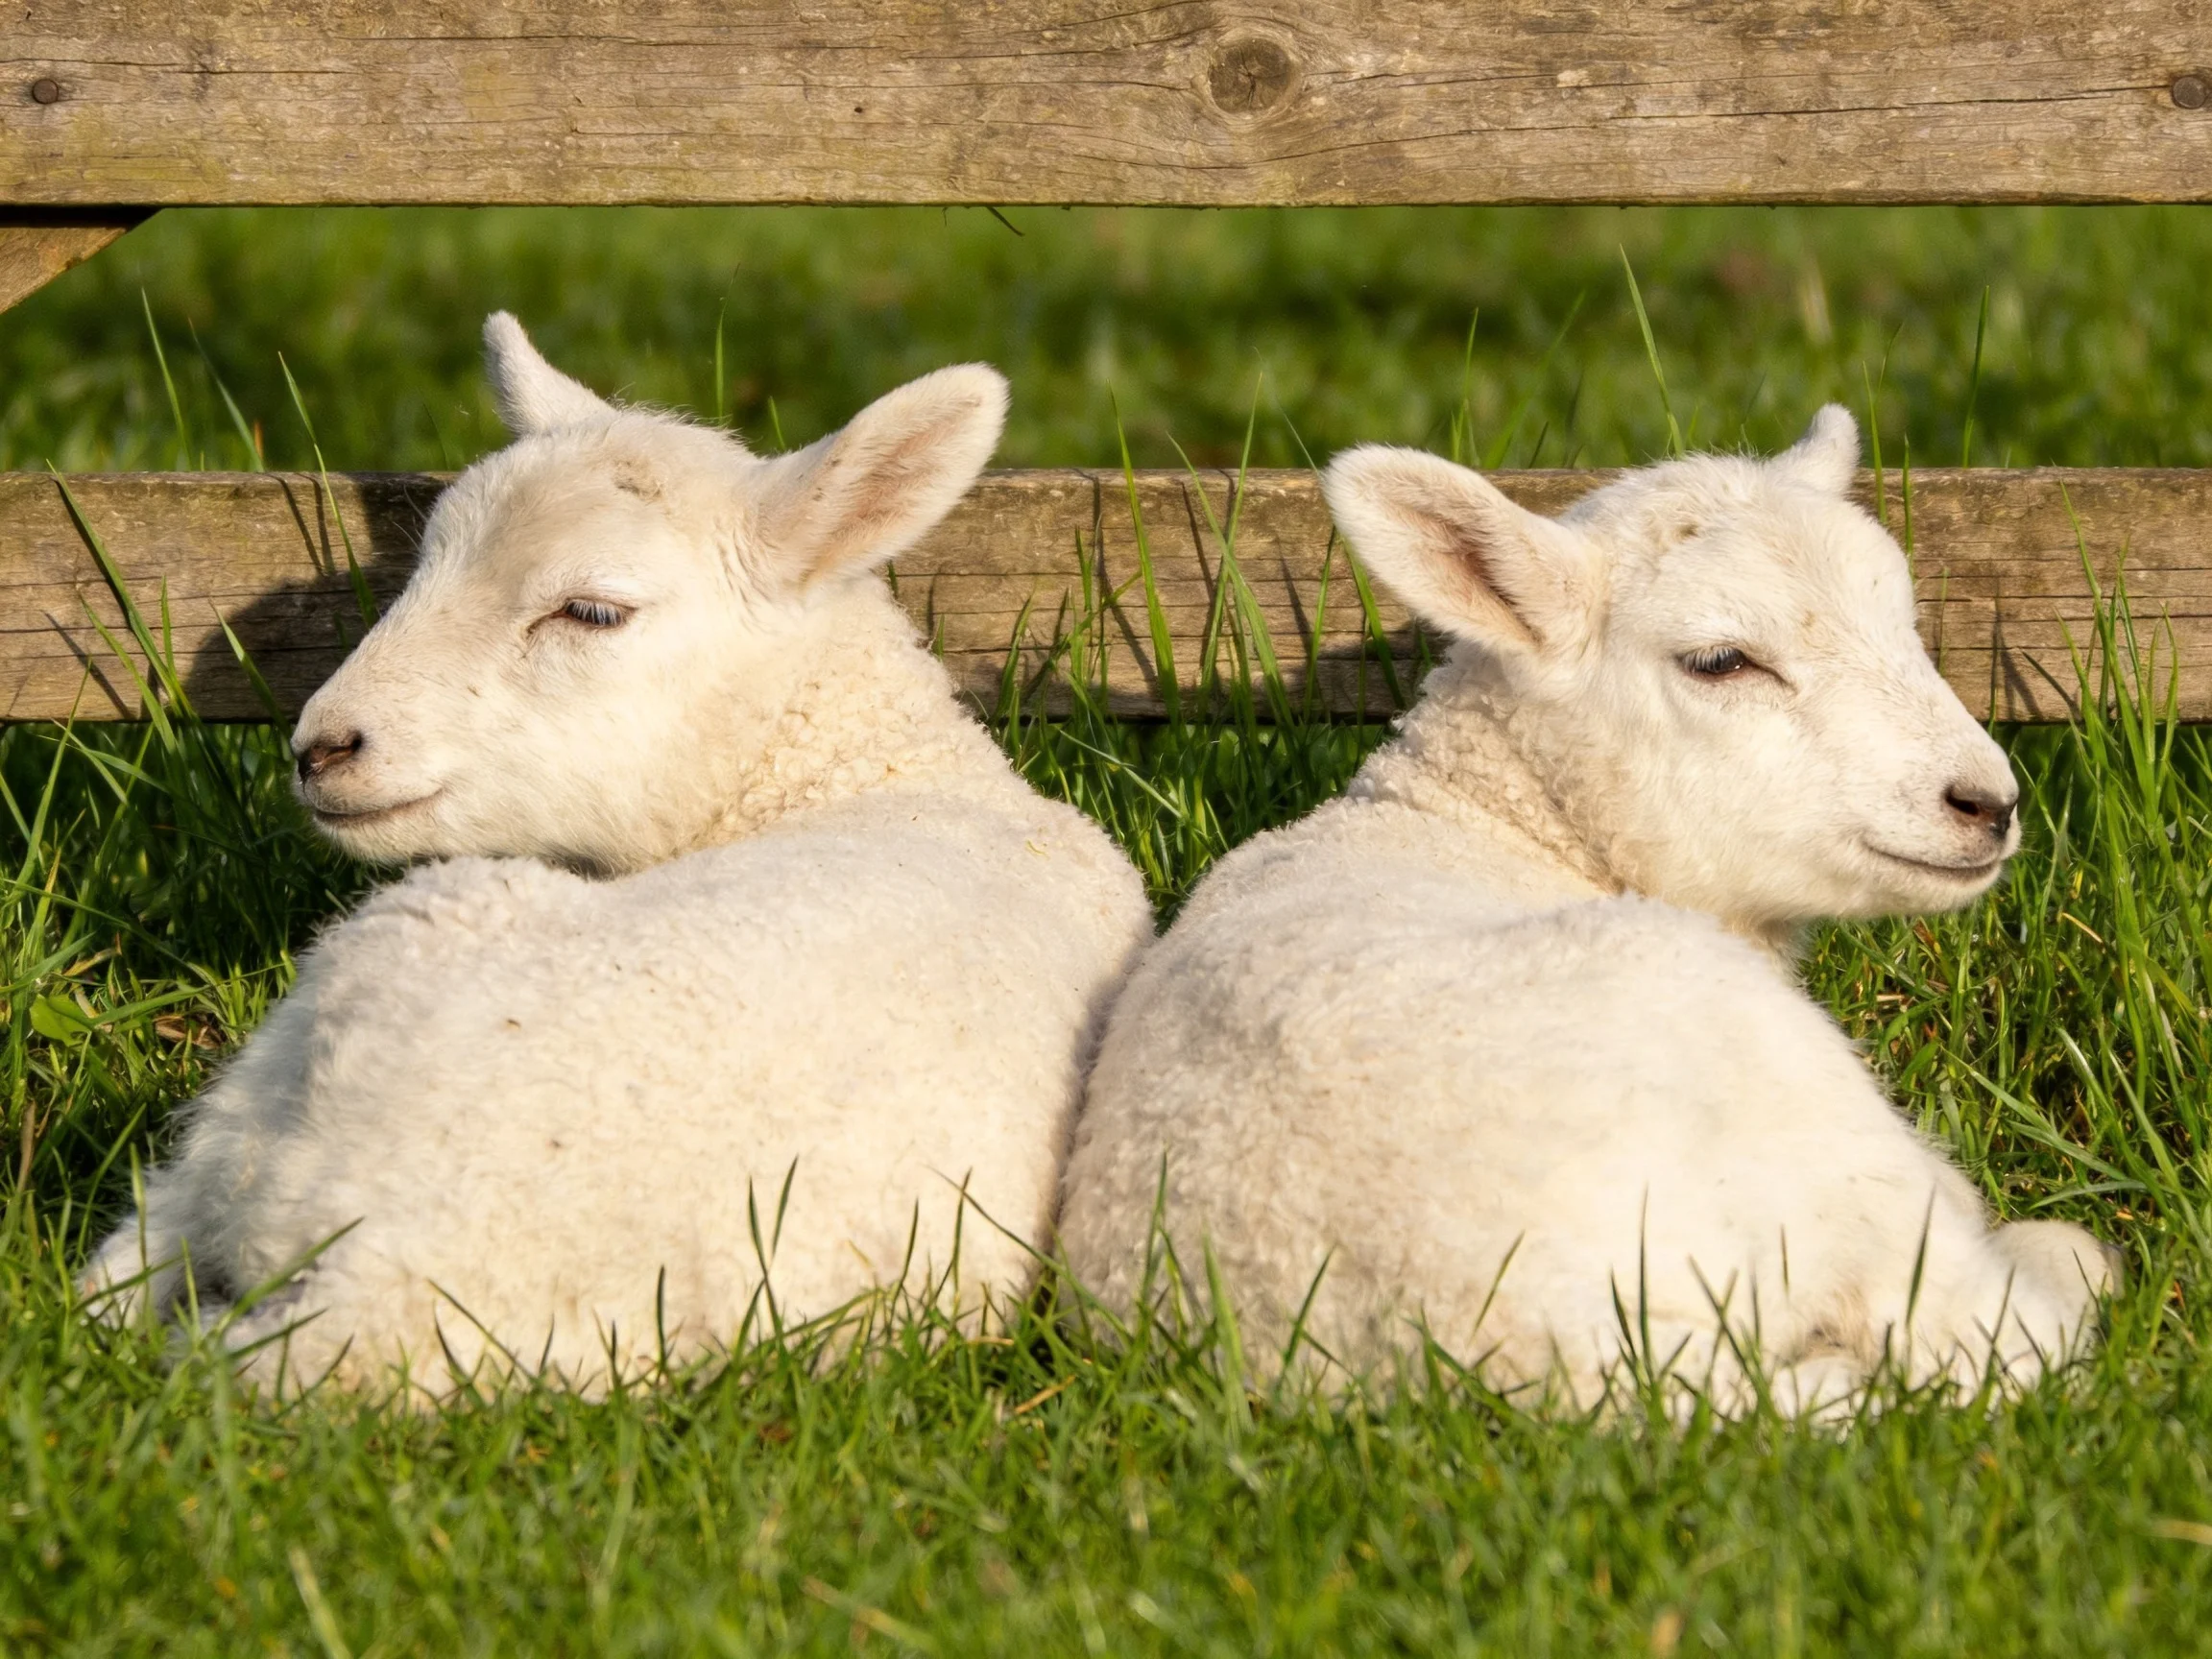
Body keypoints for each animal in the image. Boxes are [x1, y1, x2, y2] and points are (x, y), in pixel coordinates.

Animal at [1056, 408, 2117, 1416]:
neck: (1485, 817)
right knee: (1990, 1333)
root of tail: (1585, 1351)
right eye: (1720, 660)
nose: (1987, 803)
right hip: (1817, 1138)